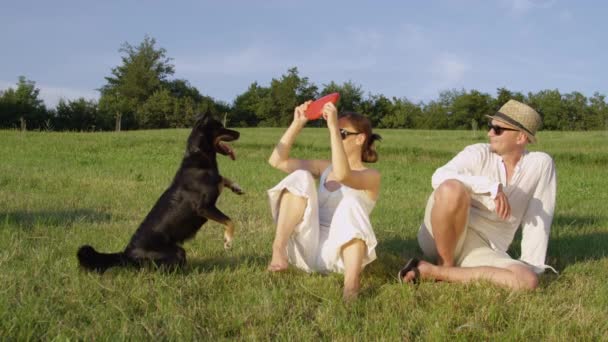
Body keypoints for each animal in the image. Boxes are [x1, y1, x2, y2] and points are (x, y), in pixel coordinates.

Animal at [77, 114, 243, 272]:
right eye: (220, 127)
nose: (239, 133)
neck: (198, 155)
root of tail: (126, 254)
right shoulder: (204, 208)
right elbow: (230, 220)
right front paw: (228, 241)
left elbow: (223, 179)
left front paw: (237, 187)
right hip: (177, 252)